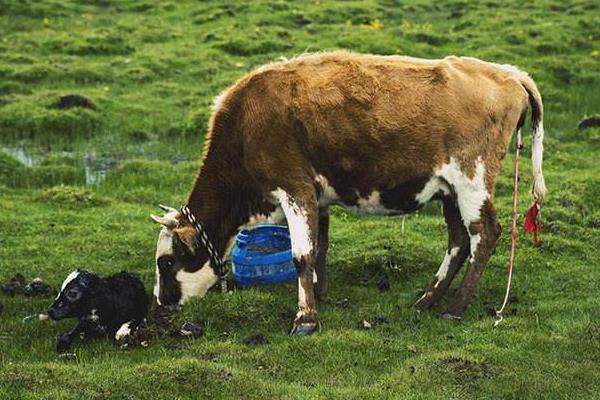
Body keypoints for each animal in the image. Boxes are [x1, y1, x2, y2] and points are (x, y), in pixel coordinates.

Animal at [149, 51, 544, 336]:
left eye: (165, 262)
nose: (160, 302)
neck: (246, 125)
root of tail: (508, 73)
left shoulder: (294, 189)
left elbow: (301, 255)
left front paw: (305, 319)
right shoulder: (316, 197)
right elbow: (319, 248)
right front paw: (320, 297)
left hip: (472, 181)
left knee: (483, 235)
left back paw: (455, 308)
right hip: (449, 191)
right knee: (458, 240)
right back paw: (427, 300)